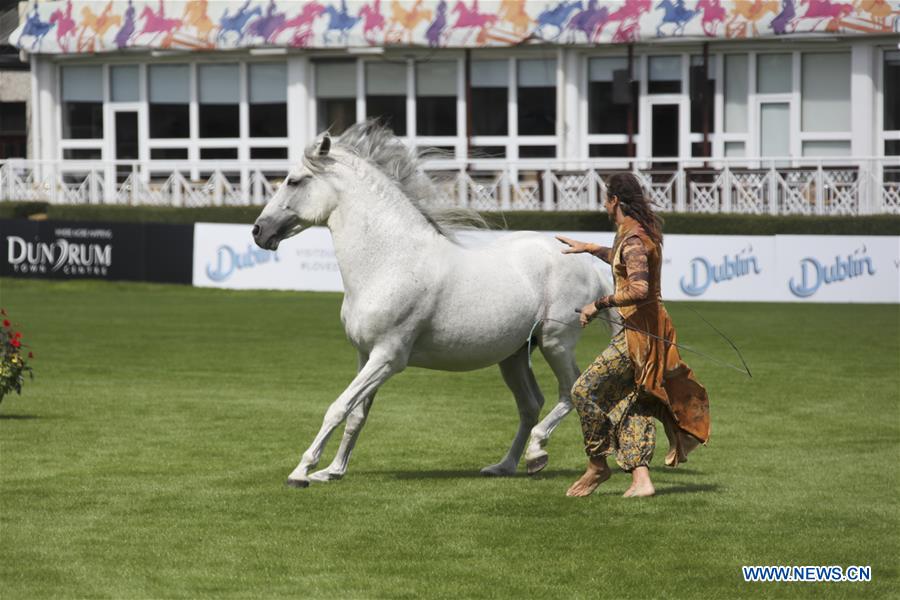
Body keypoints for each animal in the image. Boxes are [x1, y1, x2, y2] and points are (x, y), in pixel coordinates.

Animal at [251, 122, 617, 487]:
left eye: (294, 180)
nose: (259, 231)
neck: (388, 262)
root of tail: (589, 264)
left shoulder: (388, 357)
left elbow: (338, 407)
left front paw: (302, 471)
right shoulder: (365, 355)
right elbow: (356, 414)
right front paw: (333, 471)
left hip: (556, 343)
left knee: (569, 391)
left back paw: (537, 451)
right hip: (513, 356)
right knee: (530, 404)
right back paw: (506, 465)